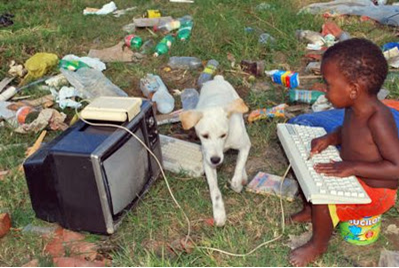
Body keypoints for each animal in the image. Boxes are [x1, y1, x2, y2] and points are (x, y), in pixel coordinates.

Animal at [180, 76, 252, 226]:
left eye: (223, 135)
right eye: (204, 136)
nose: (216, 160)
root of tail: (218, 79)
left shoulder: (245, 145)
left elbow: (238, 170)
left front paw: (237, 184)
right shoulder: (207, 161)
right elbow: (215, 190)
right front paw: (219, 213)